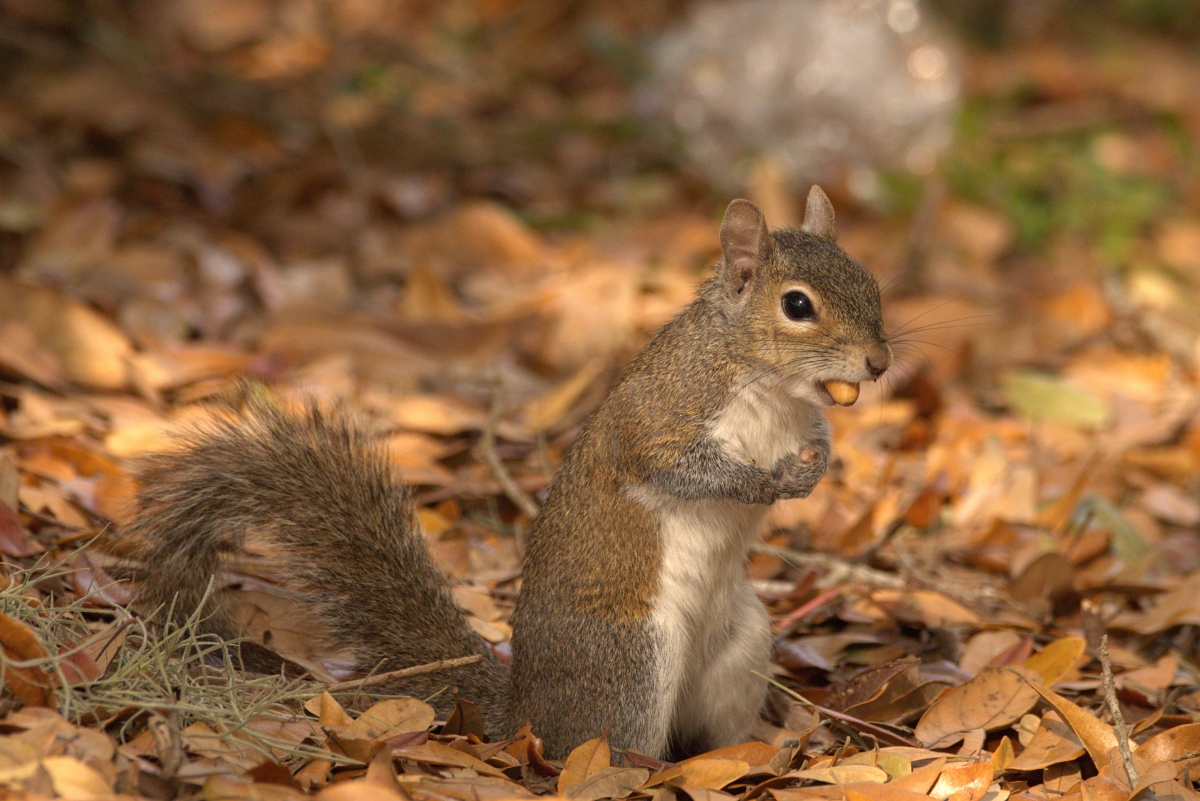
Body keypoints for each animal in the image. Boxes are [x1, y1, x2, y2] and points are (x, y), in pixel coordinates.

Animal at [124, 185, 892, 757]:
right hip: (630, 664)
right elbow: (676, 464)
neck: (768, 385)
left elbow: (819, 439)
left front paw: (815, 468)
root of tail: (525, 711)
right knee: (601, 747)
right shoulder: (667, 411)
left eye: (871, 285)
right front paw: (768, 482)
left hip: (741, 648)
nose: (879, 363)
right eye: (797, 305)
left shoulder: (802, 418)